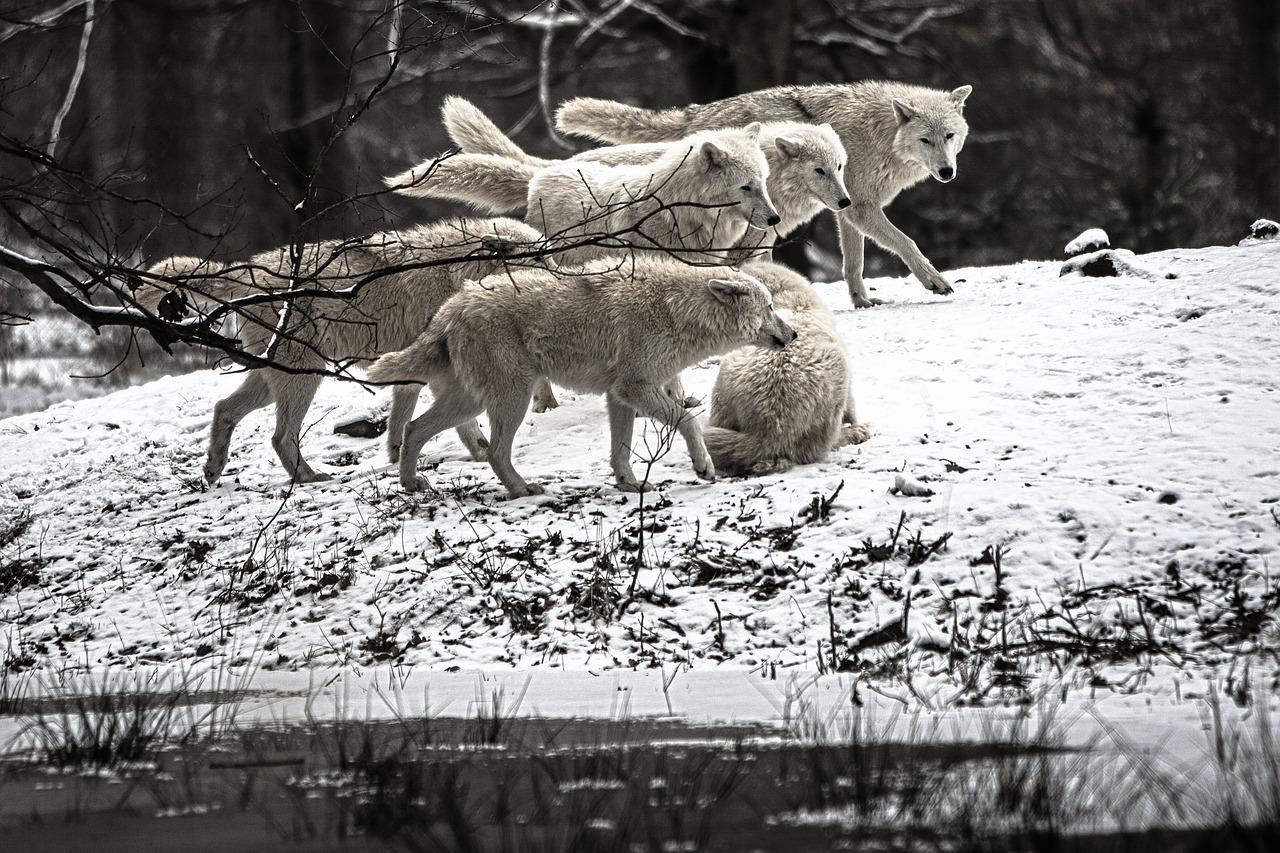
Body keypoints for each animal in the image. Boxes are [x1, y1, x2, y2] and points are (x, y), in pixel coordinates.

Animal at [135, 217, 545, 484]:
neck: (459, 272)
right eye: (540, 257)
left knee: (224, 409)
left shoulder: (412, 375)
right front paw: (477, 454)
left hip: (274, 380)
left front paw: (399, 458)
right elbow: (461, 425)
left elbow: (403, 424)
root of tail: (246, 270)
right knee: (280, 436)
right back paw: (310, 477)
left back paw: (213, 470)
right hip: (303, 378)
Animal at [366, 262, 793, 494]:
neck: (676, 311)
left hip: (472, 401)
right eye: (771, 306)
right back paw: (522, 489)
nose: (793, 334)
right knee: (495, 452)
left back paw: (411, 485)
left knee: (415, 429)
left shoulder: (619, 396)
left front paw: (629, 484)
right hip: (512, 399)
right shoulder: (634, 387)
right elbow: (688, 420)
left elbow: (621, 448)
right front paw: (703, 467)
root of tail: (451, 306)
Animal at [558, 80, 967, 308]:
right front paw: (936, 281)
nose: (948, 172)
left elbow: (854, 263)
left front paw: (862, 301)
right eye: (926, 140)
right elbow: (907, 243)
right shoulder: (861, 207)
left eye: (950, 136)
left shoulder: (847, 206)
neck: (881, 135)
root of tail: (697, 113)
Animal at [701, 258, 870, 473]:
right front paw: (857, 426)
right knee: (820, 447)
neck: (787, 298)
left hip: (724, 383)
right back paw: (856, 433)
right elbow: (852, 409)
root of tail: (768, 430)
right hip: (837, 369)